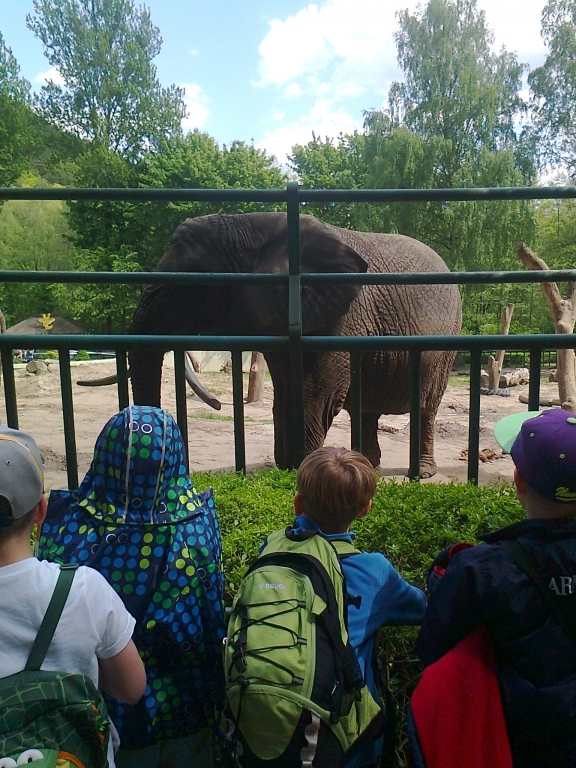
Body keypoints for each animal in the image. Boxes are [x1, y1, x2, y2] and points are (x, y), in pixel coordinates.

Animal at [121, 212, 461, 477]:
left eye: (188, 286)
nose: (217, 404)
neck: (255, 226)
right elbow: (285, 393)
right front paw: (286, 468)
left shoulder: (339, 320)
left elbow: (315, 394)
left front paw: (300, 470)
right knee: (366, 410)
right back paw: (370, 469)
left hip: (444, 349)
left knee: (426, 407)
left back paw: (421, 473)